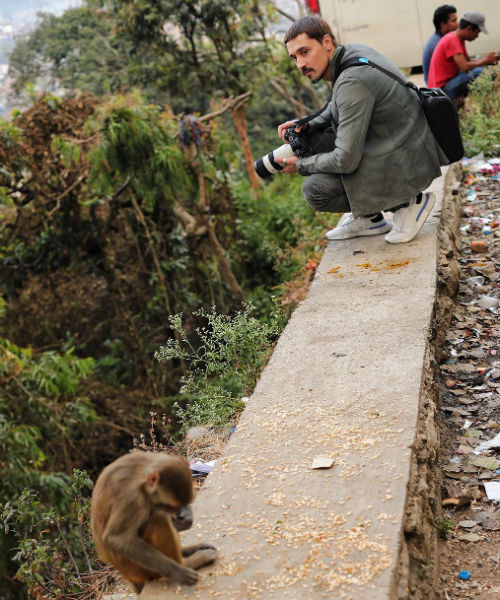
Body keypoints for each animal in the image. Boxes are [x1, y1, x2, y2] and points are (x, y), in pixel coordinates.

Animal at [91, 452, 216, 592]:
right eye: (173, 507)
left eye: (186, 503)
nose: (181, 512)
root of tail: (130, 578)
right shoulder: (132, 499)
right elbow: (117, 538)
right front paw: (179, 572)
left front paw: (186, 519)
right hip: (141, 570)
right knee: (158, 517)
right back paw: (187, 563)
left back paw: (187, 551)